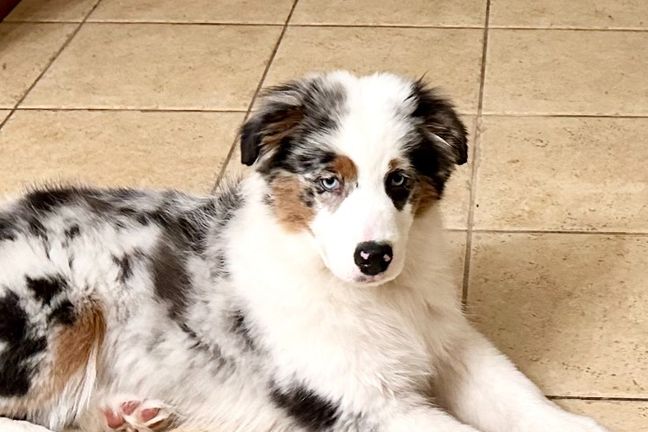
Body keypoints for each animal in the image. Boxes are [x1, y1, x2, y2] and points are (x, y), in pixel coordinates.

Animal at [0, 71, 608, 432]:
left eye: (399, 181)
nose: (373, 257)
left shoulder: (451, 342)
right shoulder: (358, 400)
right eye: (327, 181)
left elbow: (517, 394)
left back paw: (128, 410)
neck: (378, 299)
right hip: (58, 308)